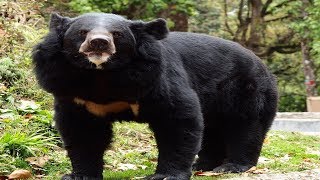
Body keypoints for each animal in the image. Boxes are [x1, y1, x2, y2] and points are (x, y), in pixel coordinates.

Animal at [33, 13, 278, 180]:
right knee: (213, 129)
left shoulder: (156, 78)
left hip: (244, 89)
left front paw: (166, 174)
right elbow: (82, 131)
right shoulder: (73, 91)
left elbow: (178, 119)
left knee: (244, 126)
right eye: (82, 32)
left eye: (117, 34)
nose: (99, 42)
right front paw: (80, 174)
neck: (101, 75)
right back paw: (203, 165)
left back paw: (232, 166)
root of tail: (263, 66)